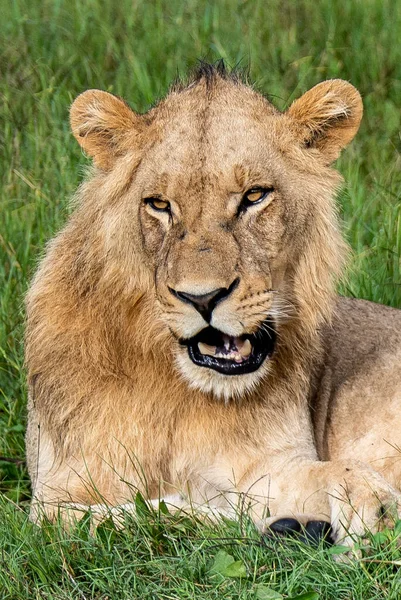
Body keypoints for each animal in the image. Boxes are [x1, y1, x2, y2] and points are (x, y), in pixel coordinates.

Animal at [25, 63, 400, 548]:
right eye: (159, 204)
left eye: (254, 196)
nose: (202, 297)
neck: (181, 392)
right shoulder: (53, 500)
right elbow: (146, 516)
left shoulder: (275, 462)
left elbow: (328, 476)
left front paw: (360, 508)